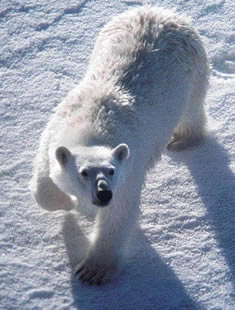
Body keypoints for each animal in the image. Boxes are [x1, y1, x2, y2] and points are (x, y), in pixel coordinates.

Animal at [30, 6, 208, 284]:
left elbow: (119, 213)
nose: (103, 193)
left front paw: (92, 270)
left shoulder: (130, 167)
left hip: (193, 69)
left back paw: (183, 140)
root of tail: (160, 11)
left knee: (192, 109)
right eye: (84, 172)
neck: (93, 122)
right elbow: (44, 181)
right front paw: (69, 203)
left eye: (111, 170)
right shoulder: (52, 135)